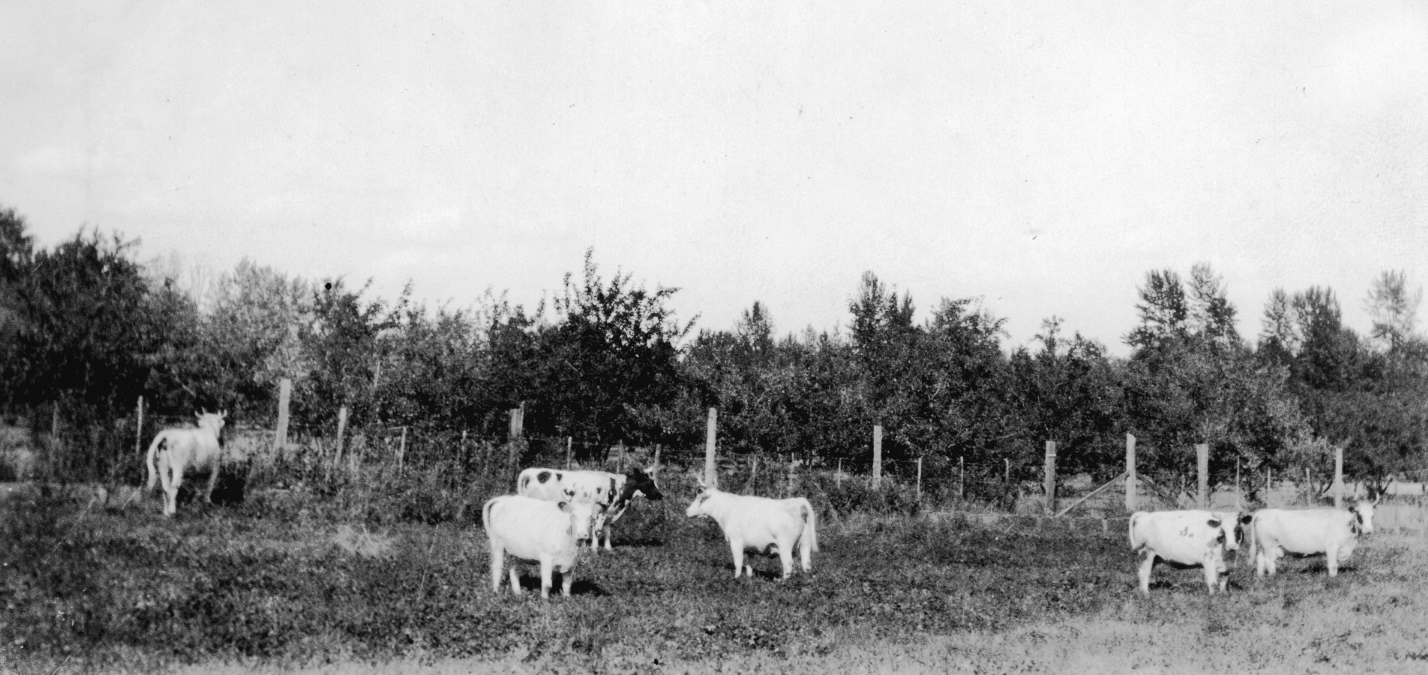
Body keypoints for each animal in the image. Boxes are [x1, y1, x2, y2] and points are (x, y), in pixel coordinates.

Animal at [685, 479, 822, 579]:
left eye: (701, 499)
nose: (687, 511)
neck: (727, 510)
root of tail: (799, 501)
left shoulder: (736, 541)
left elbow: (738, 563)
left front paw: (736, 579)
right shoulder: (749, 548)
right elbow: (748, 564)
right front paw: (748, 579)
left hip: (785, 544)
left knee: (788, 564)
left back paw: (783, 582)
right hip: (805, 542)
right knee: (806, 564)